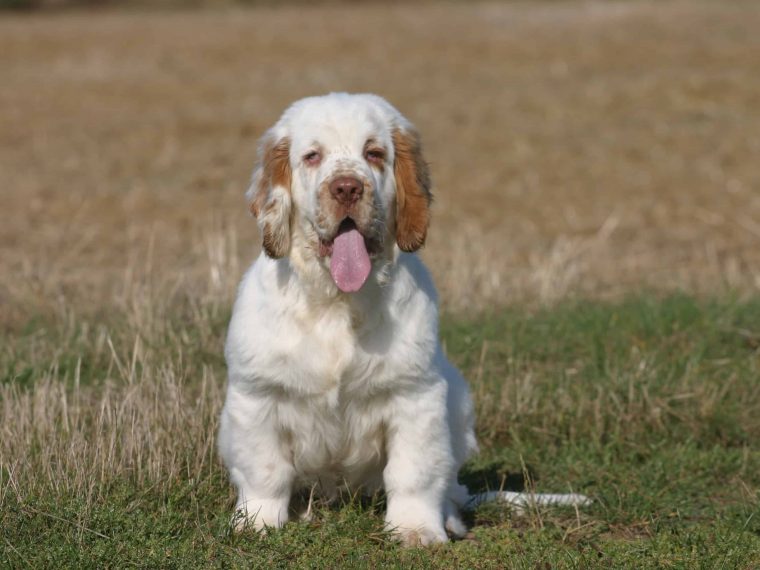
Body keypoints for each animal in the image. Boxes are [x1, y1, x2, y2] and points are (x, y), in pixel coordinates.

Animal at [217, 94, 592, 544]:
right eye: (312, 156)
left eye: (374, 153)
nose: (347, 187)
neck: (337, 302)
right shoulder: (257, 394)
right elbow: (265, 469)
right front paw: (256, 522)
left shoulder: (415, 395)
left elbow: (413, 472)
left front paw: (416, 530)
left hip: (458, 402)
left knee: (448, 486)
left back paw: (449, 518)